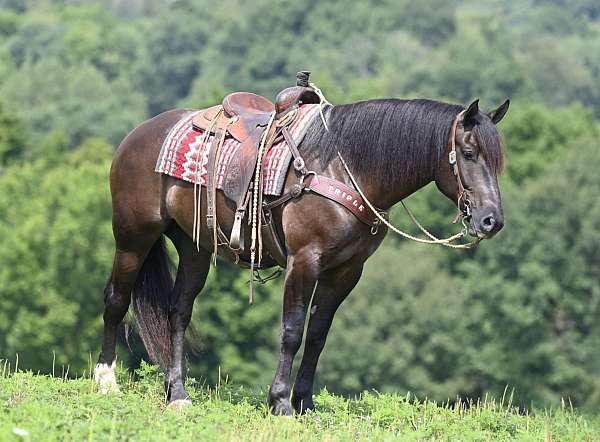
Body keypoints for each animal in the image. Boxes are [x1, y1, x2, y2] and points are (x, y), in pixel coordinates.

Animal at [96, 96, 508, 414]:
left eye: (498, 161)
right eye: (468, 153)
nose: (492, 220)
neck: (343, 166)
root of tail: (139, 133)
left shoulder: (345, 272)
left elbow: (318, 336)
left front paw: (305, 403)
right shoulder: (304, 261)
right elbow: (292, 331)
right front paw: (279, 402)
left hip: (194, 248)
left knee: (178, 311)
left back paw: (177, 393)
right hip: (133, 238)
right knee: (116, 299)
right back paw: (106, 381)